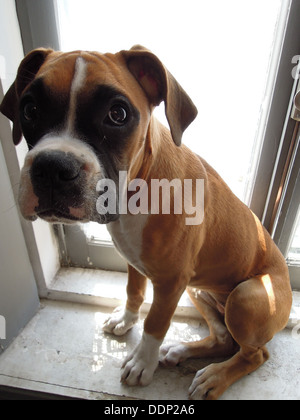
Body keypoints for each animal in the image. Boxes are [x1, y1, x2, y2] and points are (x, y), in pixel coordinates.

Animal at [0, 46, 290, 400]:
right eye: (29, 108)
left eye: (118, 114)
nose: (53, 167)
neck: (137, 189)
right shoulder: (136, 262)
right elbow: (134, 291)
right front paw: (125, 321)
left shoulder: (172, 283)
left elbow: (155, 323)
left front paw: (141, 363)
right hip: (200, 289)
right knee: (224, 339)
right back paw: (181, 351)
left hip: (246, 297)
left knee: (255, 354)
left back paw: (215, 377)